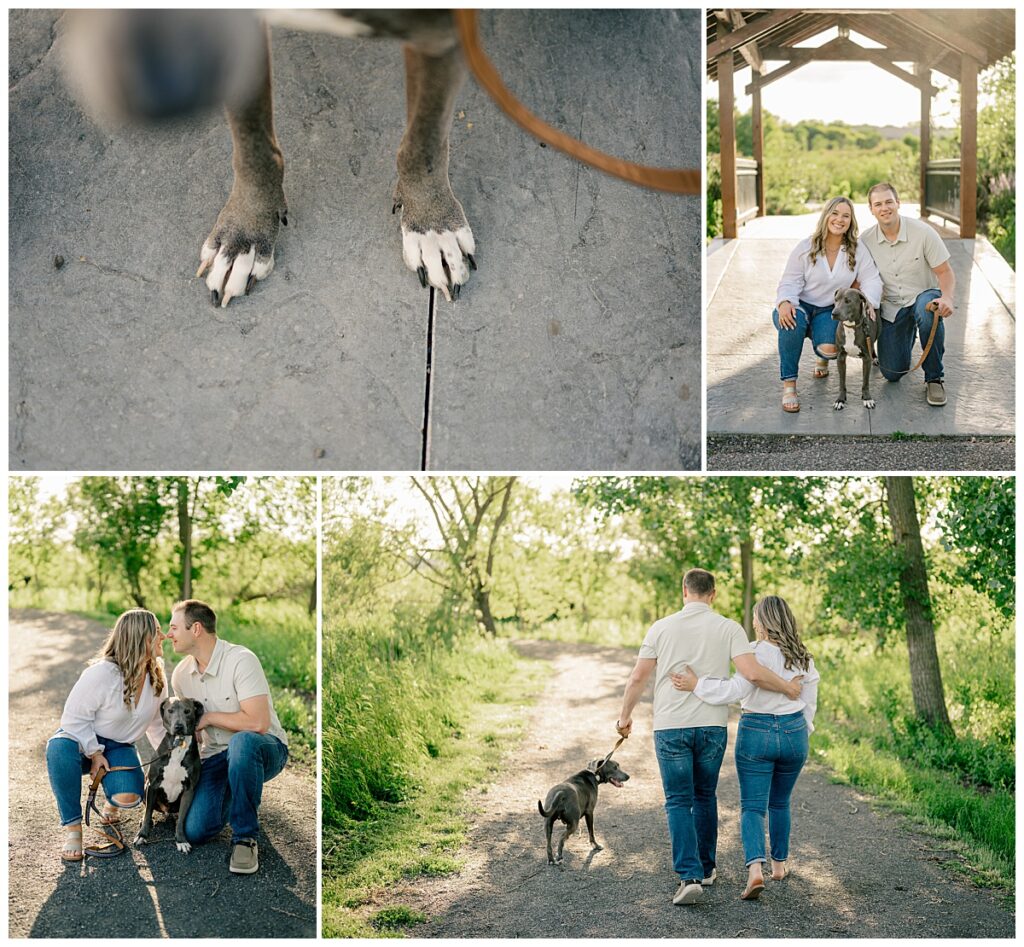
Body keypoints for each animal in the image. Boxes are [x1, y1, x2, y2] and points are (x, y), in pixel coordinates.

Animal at [137, 700, 206, 851]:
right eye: (170, 710)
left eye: (187, 711)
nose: (179, 726)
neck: (178, 745)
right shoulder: (152, 785)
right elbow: (148, 812)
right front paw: (142, 835)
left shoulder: (189, 790)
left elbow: (181, 819)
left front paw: (181, 840)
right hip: (144, 788)